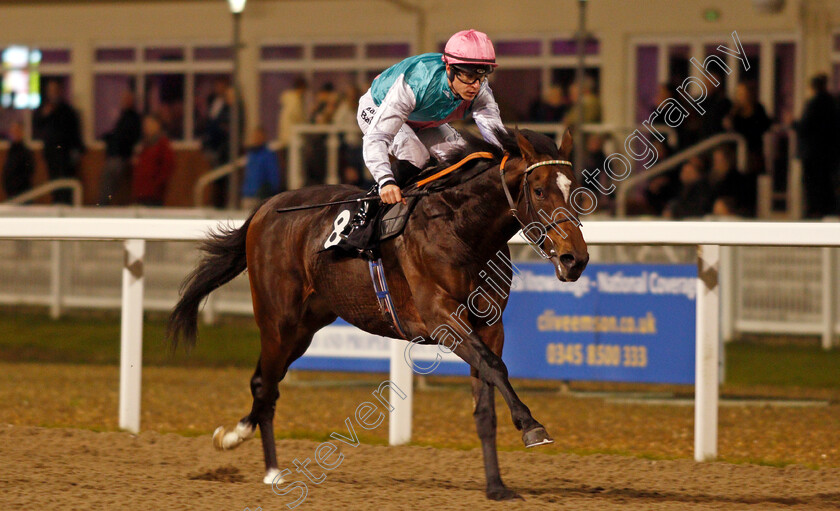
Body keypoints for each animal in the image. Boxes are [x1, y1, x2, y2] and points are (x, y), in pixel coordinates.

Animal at [169, 128, 592, 500]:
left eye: (575, 189)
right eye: (539, 190)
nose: (576, 259)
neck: (460, 229)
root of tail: (265, 208)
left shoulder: (489, 325)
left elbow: (485, 398)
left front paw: (497, 487)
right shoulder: (443, 319)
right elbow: (496, 368)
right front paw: (533, 426)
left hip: (306, 326)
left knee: (265, 381)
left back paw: (237, 438)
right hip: (278, 320)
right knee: (265, 385)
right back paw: (268, 467)